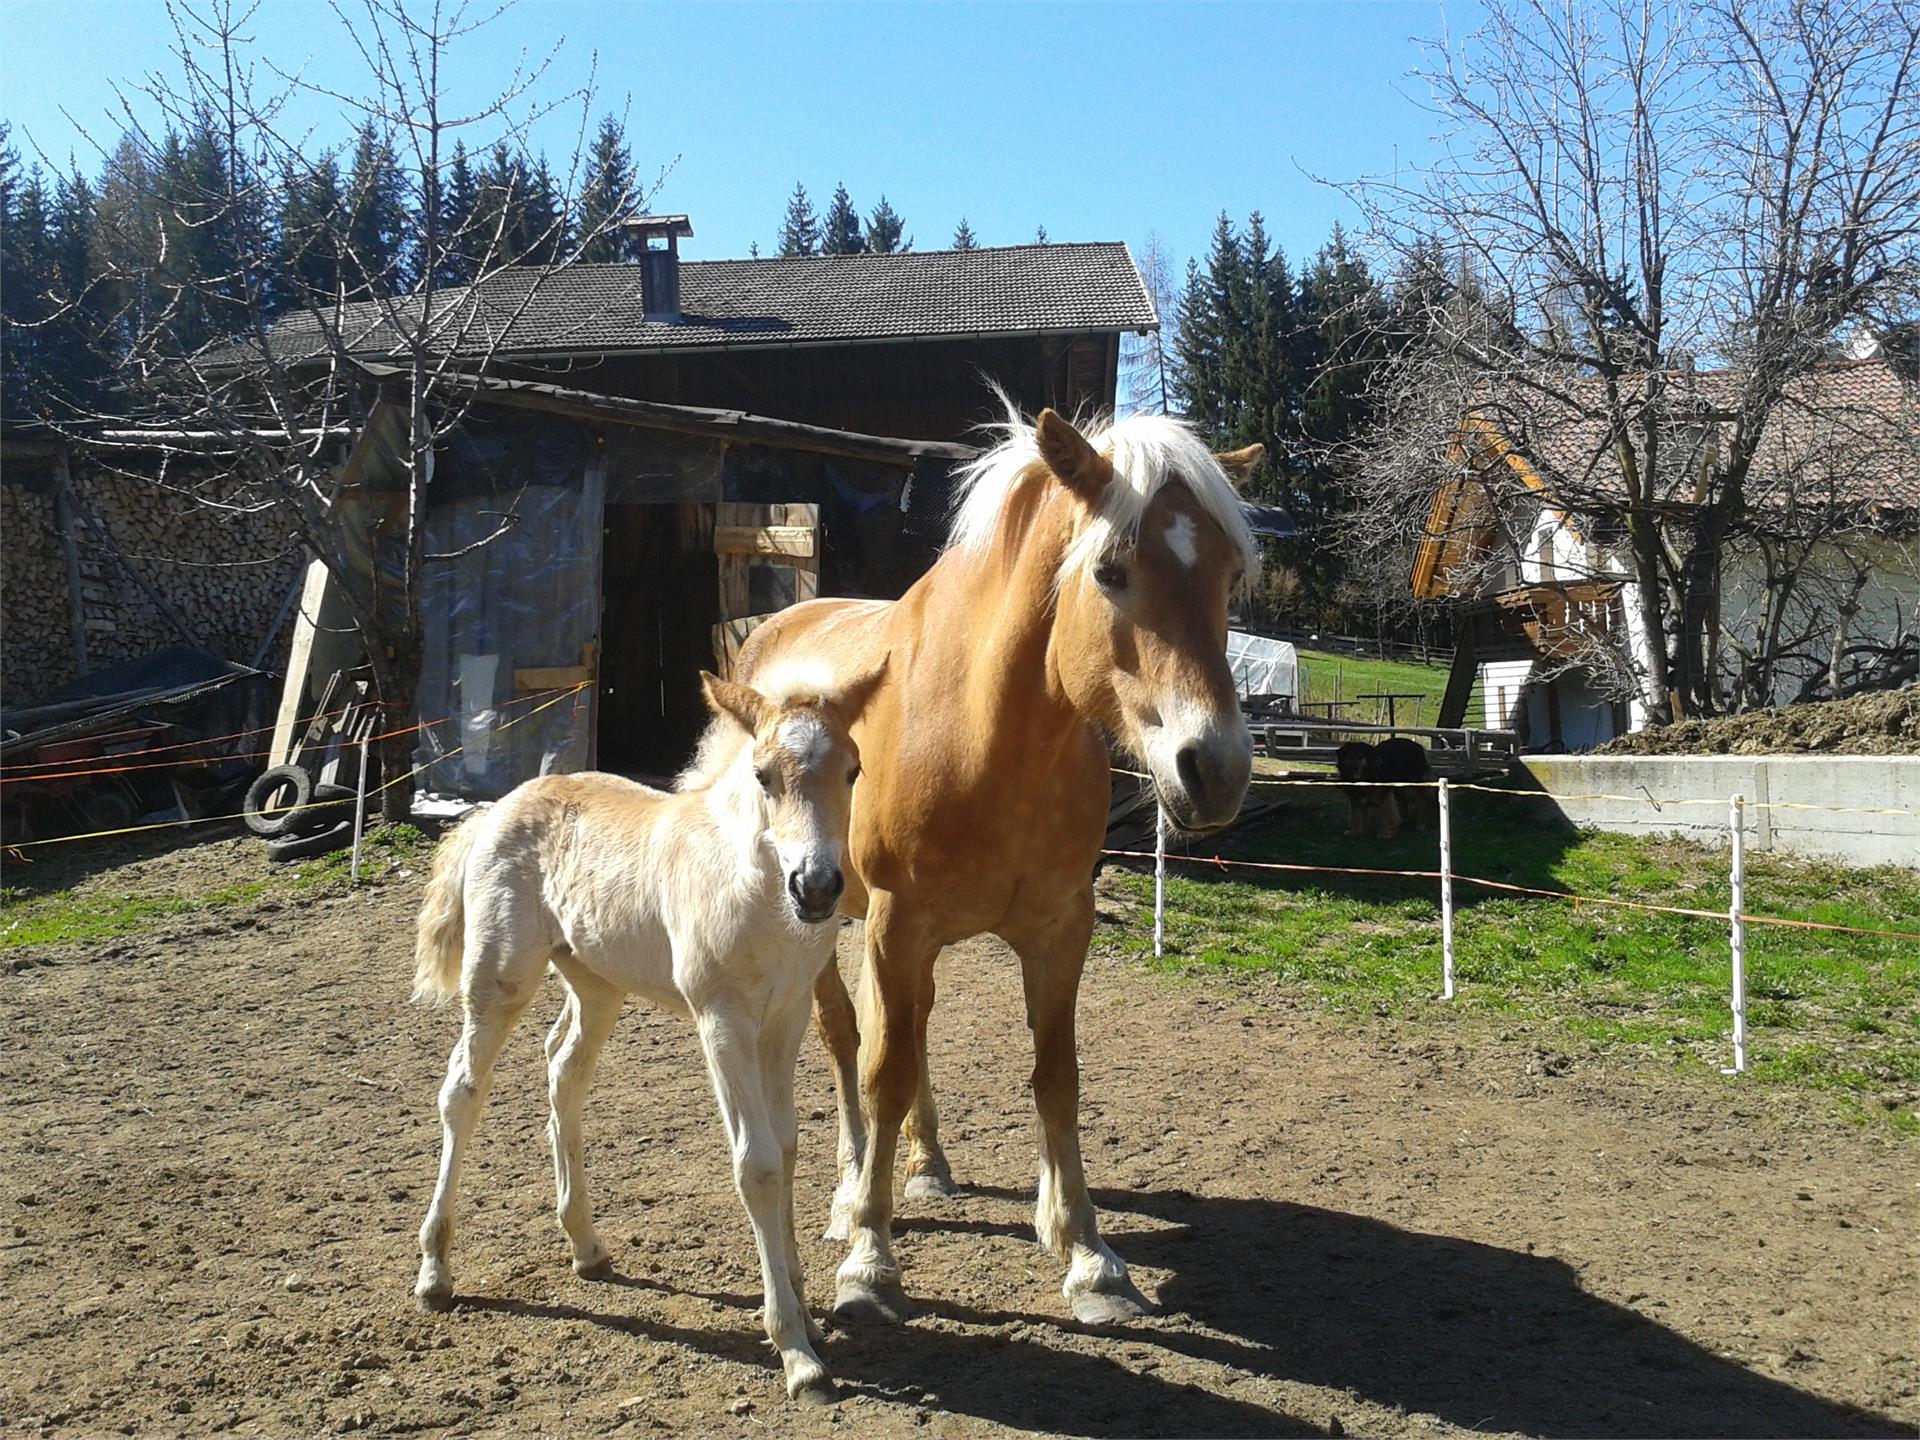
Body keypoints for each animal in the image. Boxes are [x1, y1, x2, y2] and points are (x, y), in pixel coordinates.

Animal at [412, 672, 883, 1405]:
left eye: (854, 769)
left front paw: (804, 1305)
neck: (754, 890)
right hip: (499, 979)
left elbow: (786, 1148)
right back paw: (435, 1271)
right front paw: (796, 1351)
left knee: (563, 1070)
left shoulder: (784, 1019)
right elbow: (757, 1164)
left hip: (597, 983)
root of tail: (493, 811)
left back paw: (586, 1246)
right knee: (462, 1091)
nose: (816, 886)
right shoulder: (722, 1018)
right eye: (763, 775)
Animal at [737, 401, 1259, 1328]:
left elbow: (1056, 1076)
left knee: (908, 1031)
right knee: (848, 1039)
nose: (1217, 769)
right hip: (827, 915)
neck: (986, 735)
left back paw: (928, 1166)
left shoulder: (1058, 930)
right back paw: (849, 1189)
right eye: (1111, 571)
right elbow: (881, 1070)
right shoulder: (896, 924)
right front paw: (871, 1259)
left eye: (1229, 574)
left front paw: (1087, 1254)